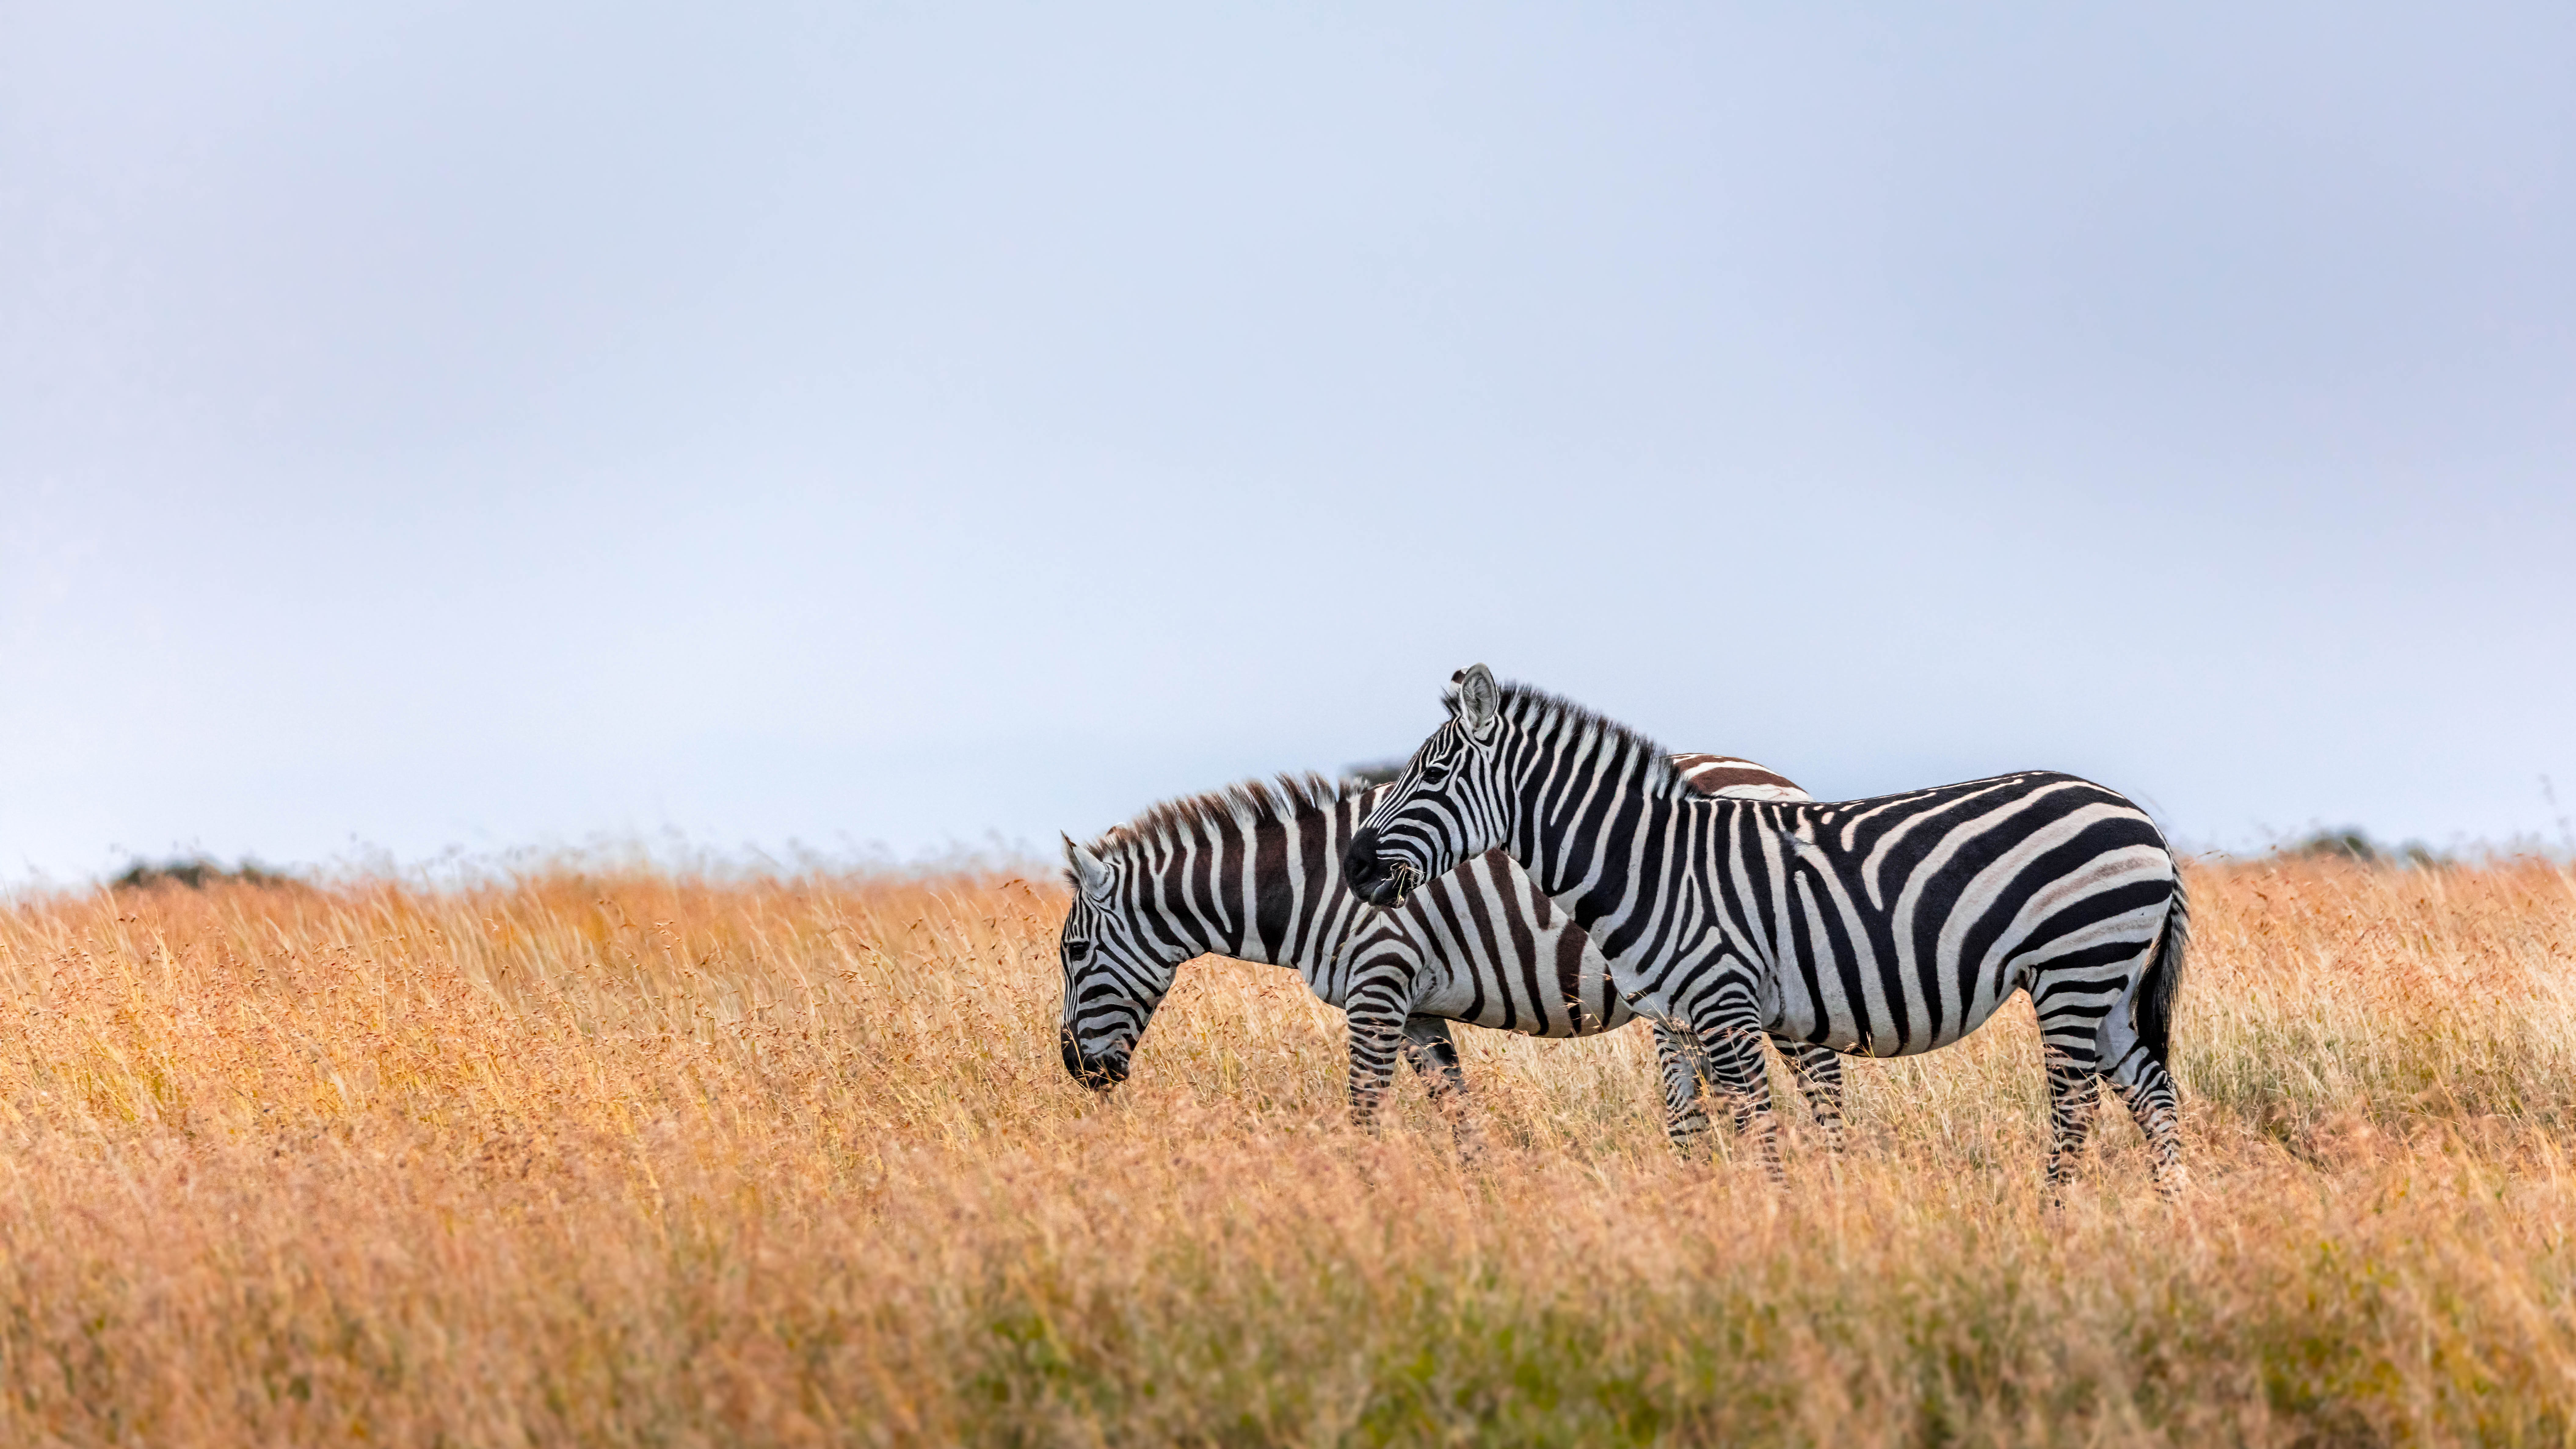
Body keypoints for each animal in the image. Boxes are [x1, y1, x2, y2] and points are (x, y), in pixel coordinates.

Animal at [1055, 755, 1852, 1150]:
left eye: (1074, 951)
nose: (1076, 1071)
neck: (1313, 886)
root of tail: (1785, 784)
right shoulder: (1416, 1010)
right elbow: (1458, 1114)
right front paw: (1478, 1207)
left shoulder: (1379, 983)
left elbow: (1364, 1110)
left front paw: (1362, 1203)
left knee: (1821, 1084)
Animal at [1345, 665, 2188, 1195]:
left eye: (1433, 775)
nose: (1353, 866)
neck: (1650, 865)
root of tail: (2139, 818)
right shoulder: (1682, 1017)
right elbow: (1701, 1124)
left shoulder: (1726, 1003)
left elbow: (1756, 1128)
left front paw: (1780, 1228)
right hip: (2108, 984)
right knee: (2153, 1095)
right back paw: (2172, 1219)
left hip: (2076, 966)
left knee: (2076, 1107)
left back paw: (2052, 1220)